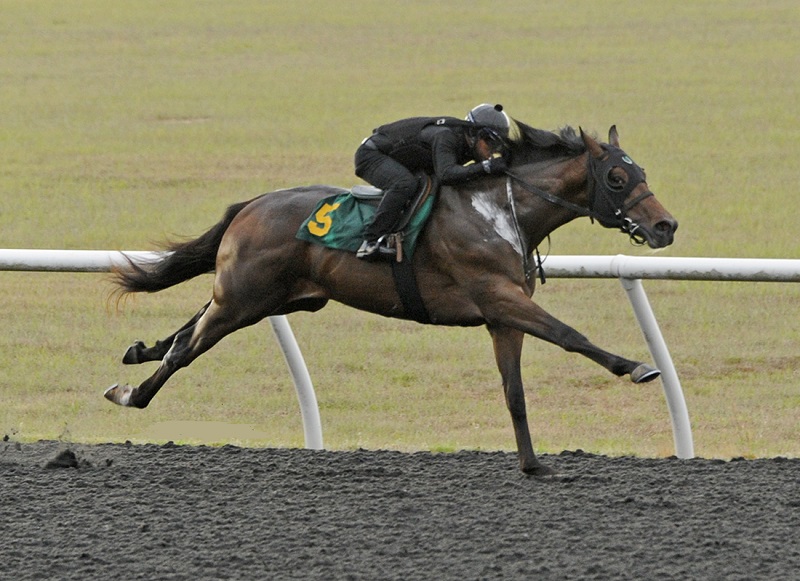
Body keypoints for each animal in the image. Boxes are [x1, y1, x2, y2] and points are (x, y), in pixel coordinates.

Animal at [106, 123, 680, 476]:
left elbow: (514, 392)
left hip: (278, 299)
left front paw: (533, 465)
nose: (665, 226)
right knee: (187, 348)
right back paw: (132, 394)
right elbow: (569, 334)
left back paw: (139, 352)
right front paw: (637, 367)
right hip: (243, 299)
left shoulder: (501, 316)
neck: (497, 209)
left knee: (188, 329)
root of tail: (251, 204)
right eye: (617, 177)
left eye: (642, 172)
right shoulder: (498, 297)